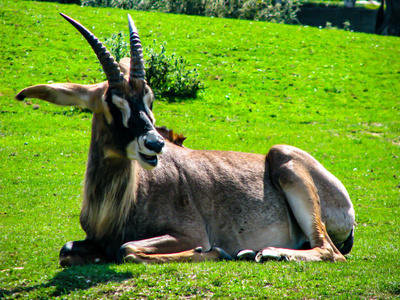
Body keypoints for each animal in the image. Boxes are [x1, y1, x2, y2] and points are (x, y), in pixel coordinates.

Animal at [14, 12, 356, 266]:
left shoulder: (189, 233)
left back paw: (269, 253)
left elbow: (127, 250)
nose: (154, 144)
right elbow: (67, 251)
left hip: (285, 162)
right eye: (113, 103)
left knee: (329, 251)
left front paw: (216, 252)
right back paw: (252, 252)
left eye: (150, 100)